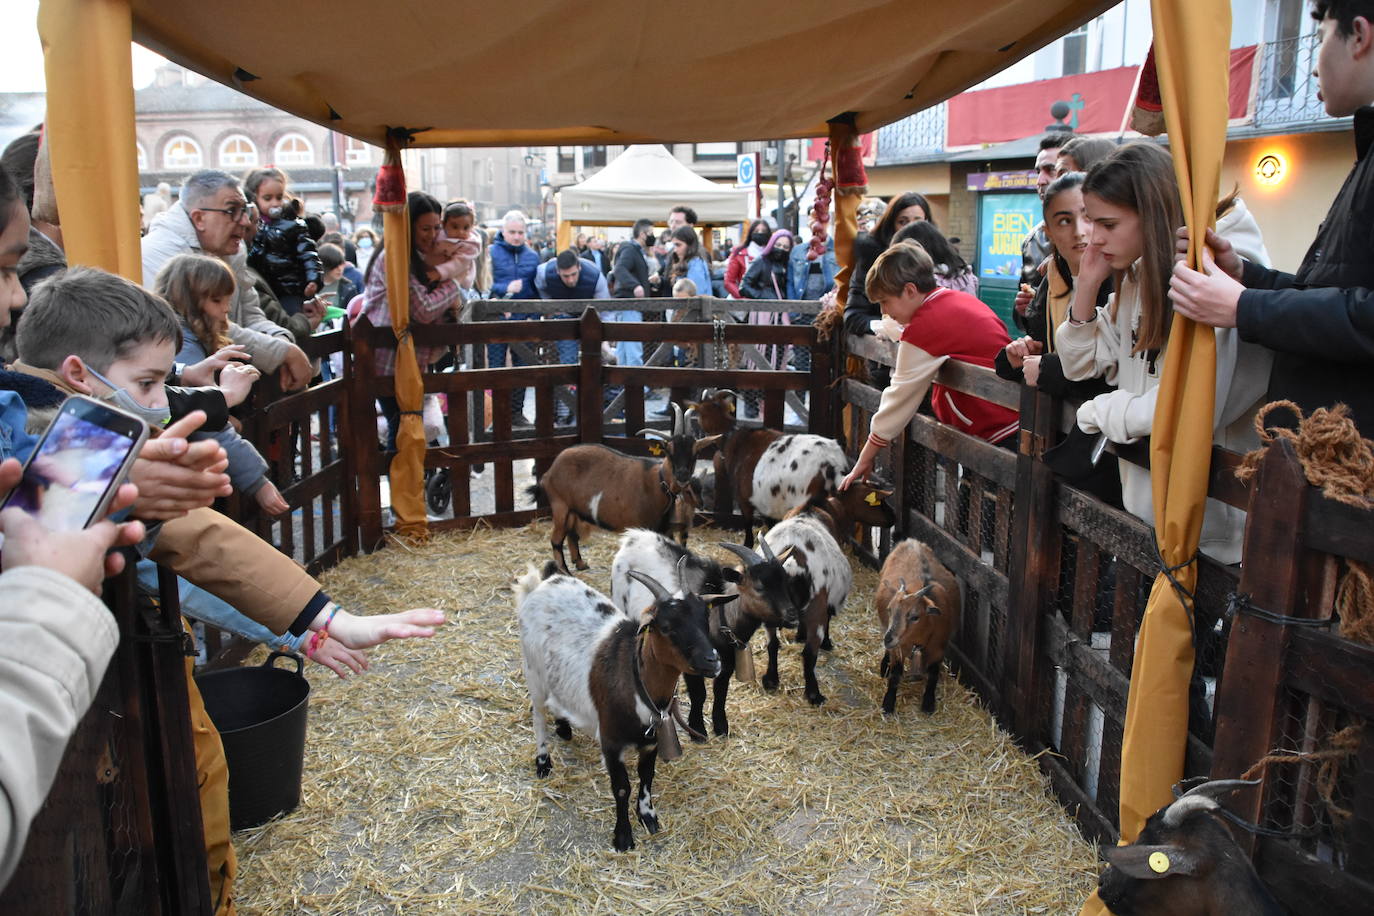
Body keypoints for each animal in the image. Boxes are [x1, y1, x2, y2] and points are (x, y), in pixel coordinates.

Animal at [516, 560, 730, 851]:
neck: (636, 681)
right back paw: (543, 762)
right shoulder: (611, 742)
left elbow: (647, 778)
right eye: (666, 626)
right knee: (538, 715)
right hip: (533, 670)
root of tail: (548, 580)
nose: (713, 661)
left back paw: (564, 728)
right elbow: (621, 788)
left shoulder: (651, 741)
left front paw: (648, 817)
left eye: (704, 619)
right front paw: (623, 837)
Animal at [519, 403, 703, 568]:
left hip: (574, 510)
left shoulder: (664, 529)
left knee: (572, 535)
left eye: (695, 454)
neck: (658, 482)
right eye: (669, 452)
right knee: (556, 540)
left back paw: (580, 563)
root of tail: (549, 473)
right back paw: (565, 571)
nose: (683, 475)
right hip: (560, 505)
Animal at [610, 530, 802, 736]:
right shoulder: (691, 658)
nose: (792, 615)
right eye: (759, 587)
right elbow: (699, 693)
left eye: (785, 582)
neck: (722, 614)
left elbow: (721, 691)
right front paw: (697, 729)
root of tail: (632, 537)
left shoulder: (725, 659)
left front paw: (721, 727)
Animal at [873, 538, 961, 714]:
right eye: (890, 610)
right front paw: (888, 703)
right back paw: (884, 665)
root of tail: (911, 542)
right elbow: (895, 674)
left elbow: (933, 675)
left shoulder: (937, 648)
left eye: (915, 617)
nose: (888, 638)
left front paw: (928, 703)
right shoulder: (898, 648)